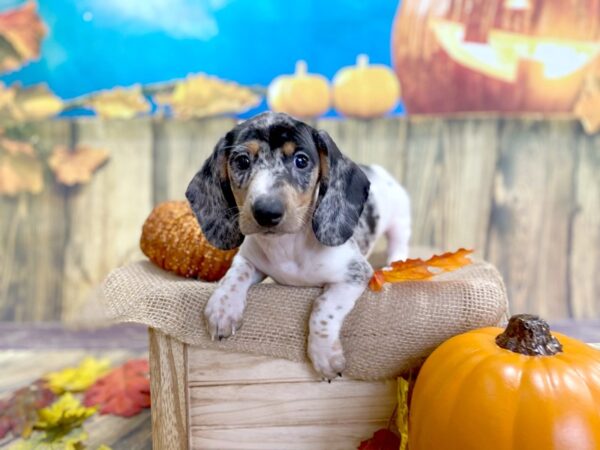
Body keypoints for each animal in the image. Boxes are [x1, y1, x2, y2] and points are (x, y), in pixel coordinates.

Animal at [188, 112, 410, 380]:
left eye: (301, 160)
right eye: (242, 161)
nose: (266, 211)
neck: (287, 245)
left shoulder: (354, 274)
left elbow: (323, 308)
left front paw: (324, 355)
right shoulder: (249, 260)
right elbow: (234, 275)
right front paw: (222, 308)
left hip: (400, 221)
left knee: (399, 243)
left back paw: (394, 263)